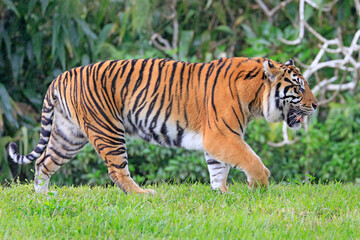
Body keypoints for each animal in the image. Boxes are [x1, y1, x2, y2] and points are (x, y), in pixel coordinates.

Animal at [7, 57, 318, 194]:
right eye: (299, 87)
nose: (316, 105)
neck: (254, 96)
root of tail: (61, 76)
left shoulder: (218, 140)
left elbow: (218, 170)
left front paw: (223, 195)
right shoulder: (221, 136)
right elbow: (251, 160)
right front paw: (258, 186)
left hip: (68, 135)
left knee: (43, 162)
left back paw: (42, 196)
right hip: (108, 131)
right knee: (116, 171)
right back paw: (142, 195)